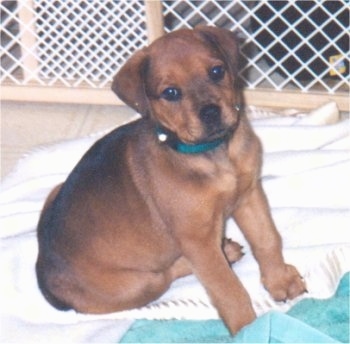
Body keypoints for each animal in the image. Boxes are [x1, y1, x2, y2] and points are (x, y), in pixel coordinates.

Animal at [34, 26, 304, 334]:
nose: (210, 112)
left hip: (55, 191)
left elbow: (268, 239)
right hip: (139, 284)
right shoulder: (197, 239)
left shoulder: (249, 195)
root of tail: (43, 273)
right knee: (168, 273)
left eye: (216, 71)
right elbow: (227, 289)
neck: (213, 155)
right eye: (170, 92)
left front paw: (281, 280)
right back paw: (222, 252)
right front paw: (248, 329)